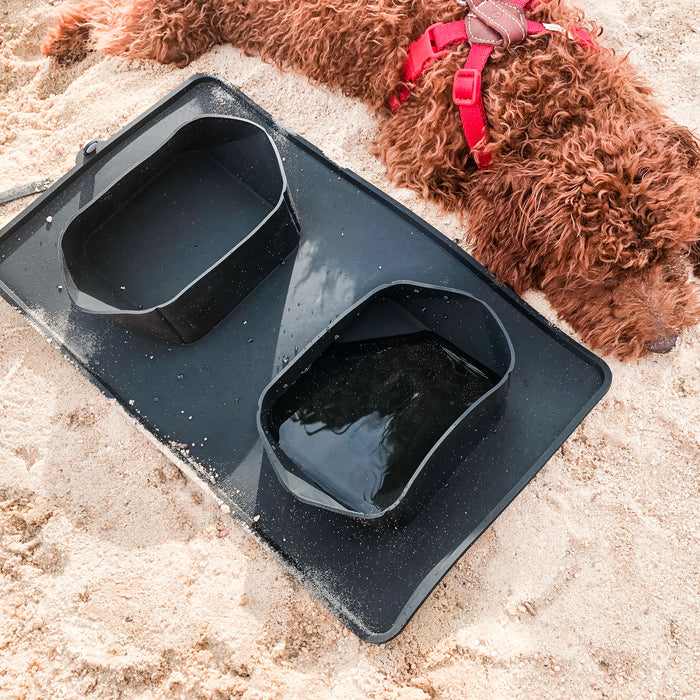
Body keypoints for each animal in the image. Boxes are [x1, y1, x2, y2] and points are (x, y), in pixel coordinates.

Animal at [41, 0, 700, 358]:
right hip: (164, 32)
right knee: (105, 20)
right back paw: (61, 37)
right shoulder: (419, 153)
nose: (666, 345)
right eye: (601, 275)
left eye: (667, 254)